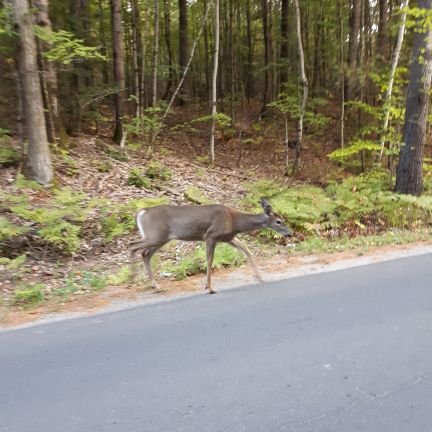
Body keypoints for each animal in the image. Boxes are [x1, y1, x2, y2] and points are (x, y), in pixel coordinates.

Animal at [127, 198, 290, 294]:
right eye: (279, 221)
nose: (290, 233)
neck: (235, 221)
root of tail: (142, 212)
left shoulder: (228, 238)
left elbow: (246, 250)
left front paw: (260, 277)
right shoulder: (211, 235)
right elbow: (210, 260)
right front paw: (210, 288)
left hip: (160, 238)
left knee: (144, 253)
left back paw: (154, 286)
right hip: (155, 236)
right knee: (132, 245)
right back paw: (132, 281)